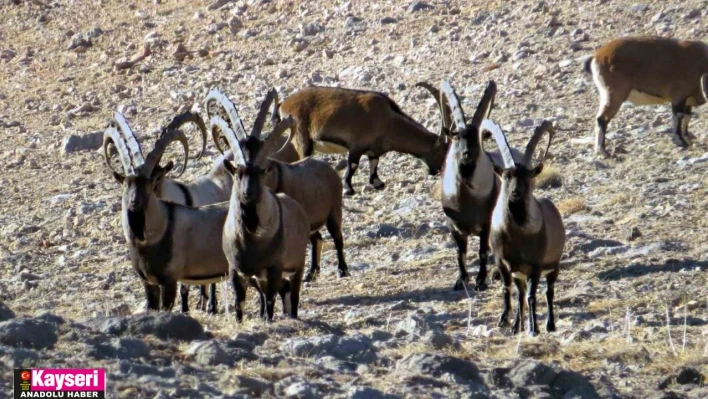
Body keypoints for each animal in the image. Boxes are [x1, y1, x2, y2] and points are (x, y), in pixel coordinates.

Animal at [207, 90, 352, 284]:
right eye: (238, 171)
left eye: (259, 148)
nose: (248, 193)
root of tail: (330, 169)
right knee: (317, 238)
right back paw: (311, 273)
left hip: (334, 210)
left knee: (337, 237)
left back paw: (342, 270)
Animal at [272, 86, 448, 195]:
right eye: (442, 153)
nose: (436, 171)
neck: (387, 120)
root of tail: (284, 104)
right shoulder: (356, 146)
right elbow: (353, 166)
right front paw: (348, 189)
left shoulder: (374, 151)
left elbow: (374, 165)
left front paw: (378, 183)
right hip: (302, 137)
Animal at [490, 120, 568, 336]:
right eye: (506, 176)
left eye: (528, 175)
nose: (516, 192)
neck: (516, 234)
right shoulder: (504, 264)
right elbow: (509, 291)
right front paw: (505, 321)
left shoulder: (536, 265)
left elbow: (532, 297)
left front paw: (534, 329)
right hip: (521, 274)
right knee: (521, 294)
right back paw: (518, 326)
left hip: (553, 266)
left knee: (549, 292)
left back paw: (549, 325)